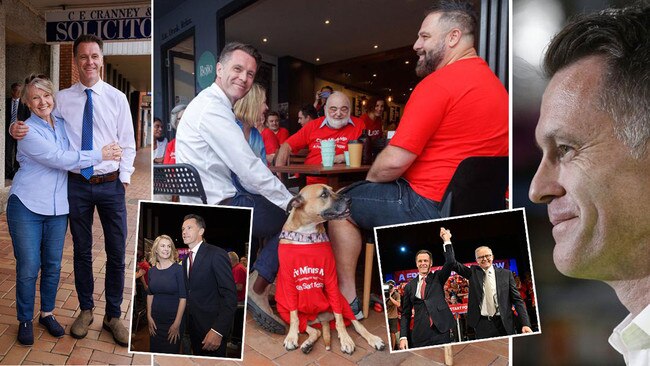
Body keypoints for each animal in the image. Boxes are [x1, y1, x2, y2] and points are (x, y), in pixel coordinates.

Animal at [274, 186, 384, 354]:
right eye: (324, 194)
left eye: (332, 190)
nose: (349, 199)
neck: (306, 234)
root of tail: (321, 318)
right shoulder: (289, 283)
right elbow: (294, 317)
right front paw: (292, 336)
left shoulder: (331, 279)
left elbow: (339, 319)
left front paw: (345, 339)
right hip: (283, 308)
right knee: (314, 330)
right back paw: (307, 343)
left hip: (343, 301)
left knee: (356, 324)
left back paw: (373, 339)